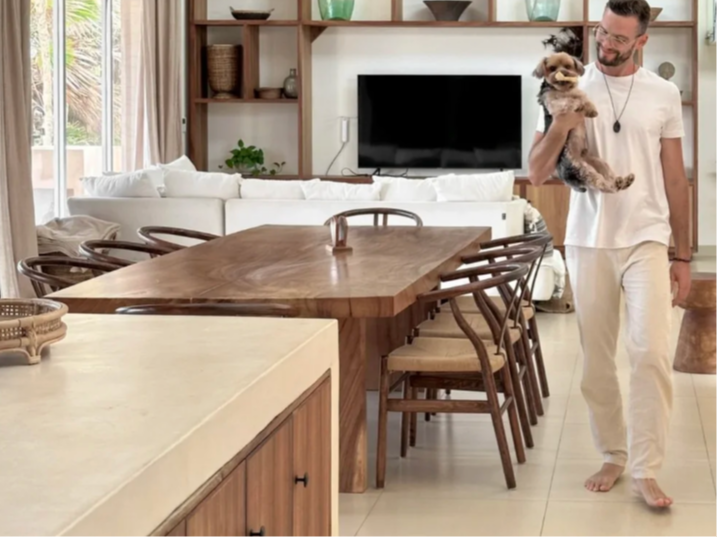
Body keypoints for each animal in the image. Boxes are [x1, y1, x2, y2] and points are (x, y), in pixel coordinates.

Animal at [533, 52, 634, 193]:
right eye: (552, 68)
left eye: (568, 66)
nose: (563, 72)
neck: (563, 89)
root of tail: (564, 177)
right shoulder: (555, 104)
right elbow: (570, 100)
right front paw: (579, 105)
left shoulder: (576, 92)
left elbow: (582, 95)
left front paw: (591, 110)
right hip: (582, 169)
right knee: (602, 184)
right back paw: (617, 184)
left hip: (595, 161)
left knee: (607, 174)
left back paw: (622, 181)